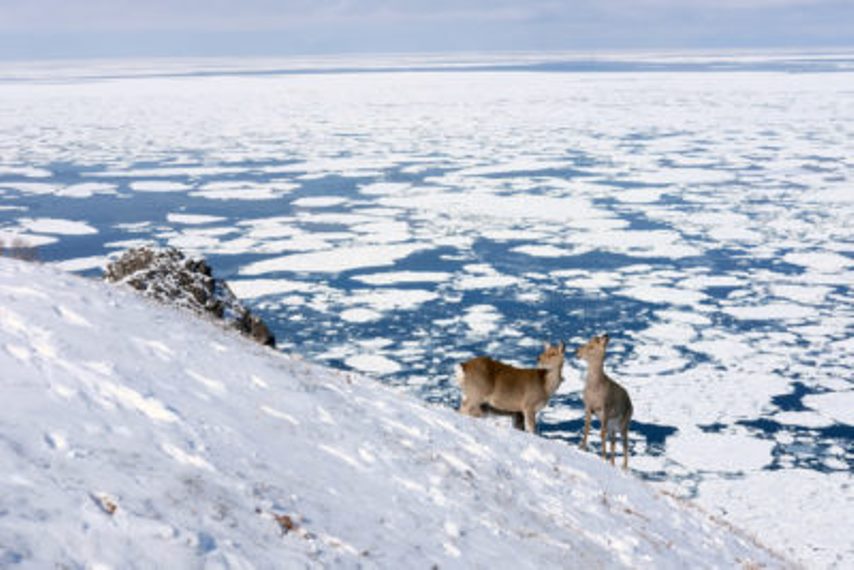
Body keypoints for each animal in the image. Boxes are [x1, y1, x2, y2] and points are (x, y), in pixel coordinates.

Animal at [576, 332, 636, 466]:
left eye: (591, 346)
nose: (577, 352)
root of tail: (631, 403)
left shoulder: (605, 409)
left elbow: (601, 434)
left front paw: (603, 457)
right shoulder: (588, 407)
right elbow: (586, 428)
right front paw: (581, 448)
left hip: (624, 423)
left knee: (625, 442)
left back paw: (624, 467)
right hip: (612, 425)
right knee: (613, 441)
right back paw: (612, 463)